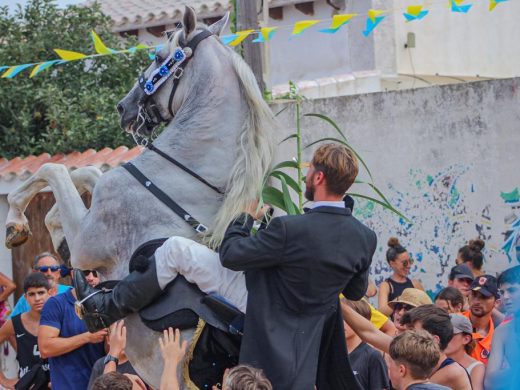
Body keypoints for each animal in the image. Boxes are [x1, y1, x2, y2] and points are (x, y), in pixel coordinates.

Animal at [6, 7, 274, 388]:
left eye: (159, 57)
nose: (123, 107)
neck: (180, 175)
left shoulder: (89, 241)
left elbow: (53, 169)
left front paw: (16, 221)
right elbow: (86, 172)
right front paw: (57, 235)